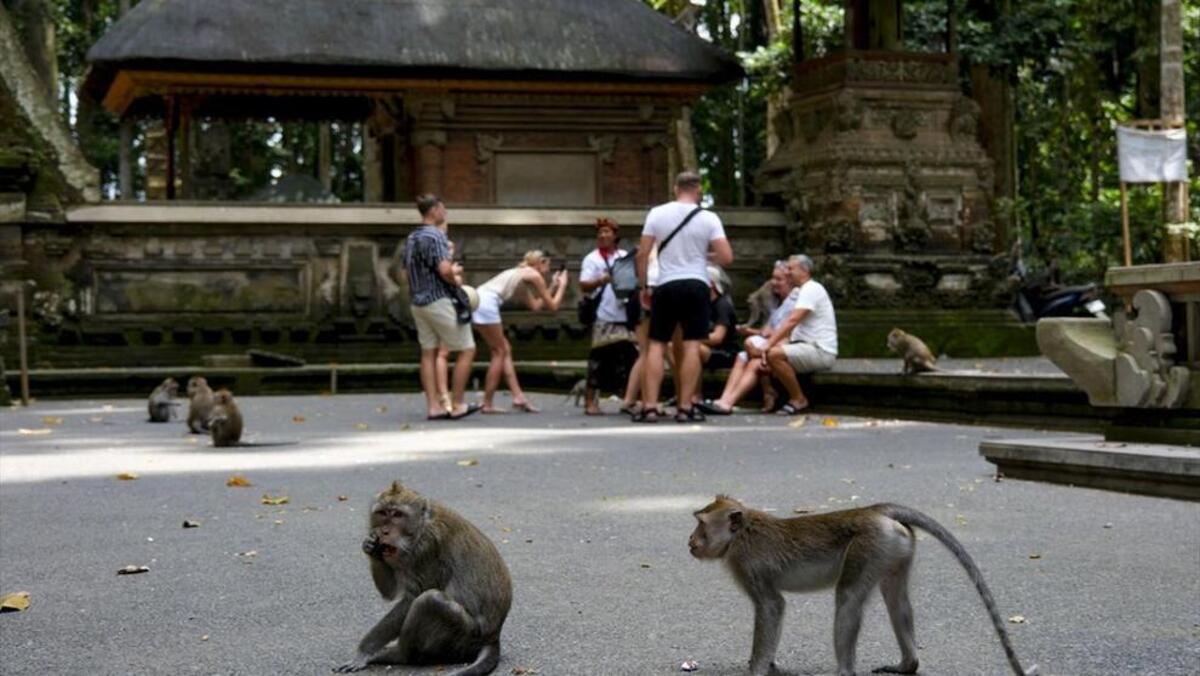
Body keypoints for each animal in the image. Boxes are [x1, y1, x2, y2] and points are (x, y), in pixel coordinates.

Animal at [336, 480, 513, 676]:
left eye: (397, 515)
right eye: (382, 513)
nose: (384, 531)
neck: (421, 527)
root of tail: (493, 637)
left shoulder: (427, 548)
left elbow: (413, 597)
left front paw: (364, 651)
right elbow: (390, 593)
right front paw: (370, 548)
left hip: (466, 638)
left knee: (430, 600)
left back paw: (398, 655)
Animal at [691, 494, 1036, 676]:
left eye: (701, 524)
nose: (690, 541)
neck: (741, 533)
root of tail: (876, 510)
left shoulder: (747, 565)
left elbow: (772, 606)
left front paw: (758, 669)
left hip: (869, 546)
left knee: (848, 598)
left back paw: (846, 671)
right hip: (894, 548)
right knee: (895, 598)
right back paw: (907, 664)